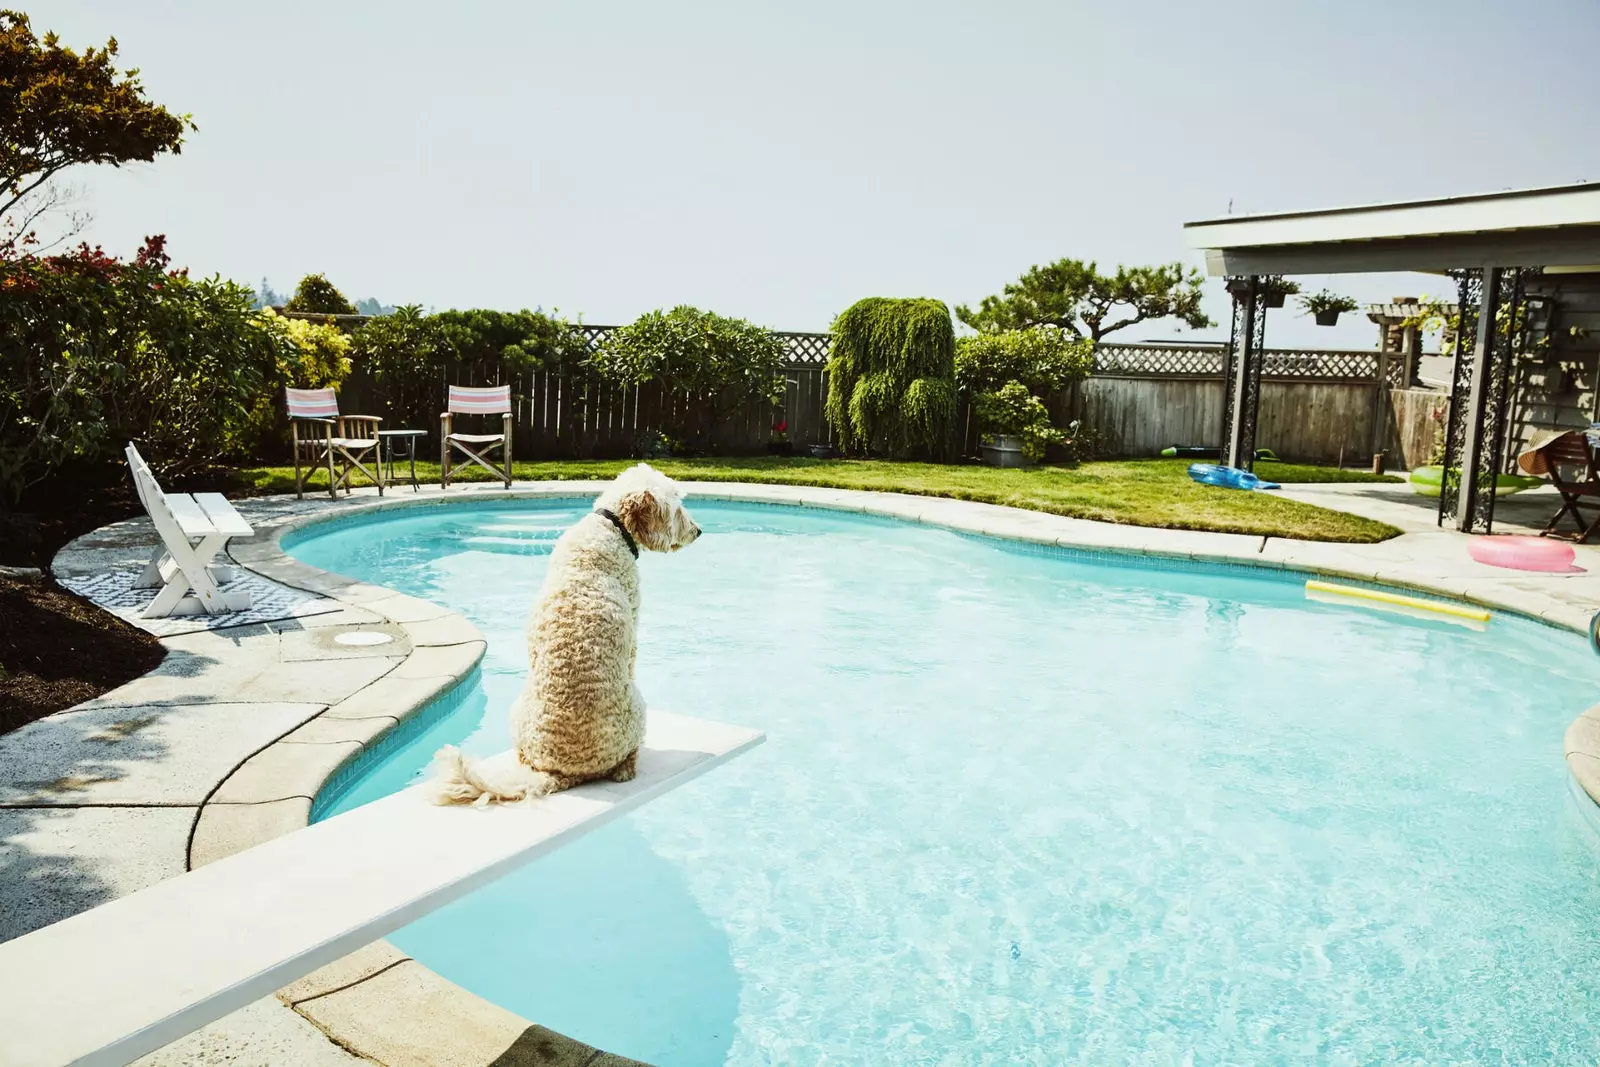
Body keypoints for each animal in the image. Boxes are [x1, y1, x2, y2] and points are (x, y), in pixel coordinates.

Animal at [432, 463, 700, 806]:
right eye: (677, 508)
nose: (698, 531)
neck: (609, 528)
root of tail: (561, 773)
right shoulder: (633, 638)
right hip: (638, 708)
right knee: (625, 759)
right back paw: (628, 765)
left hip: (516, 713)